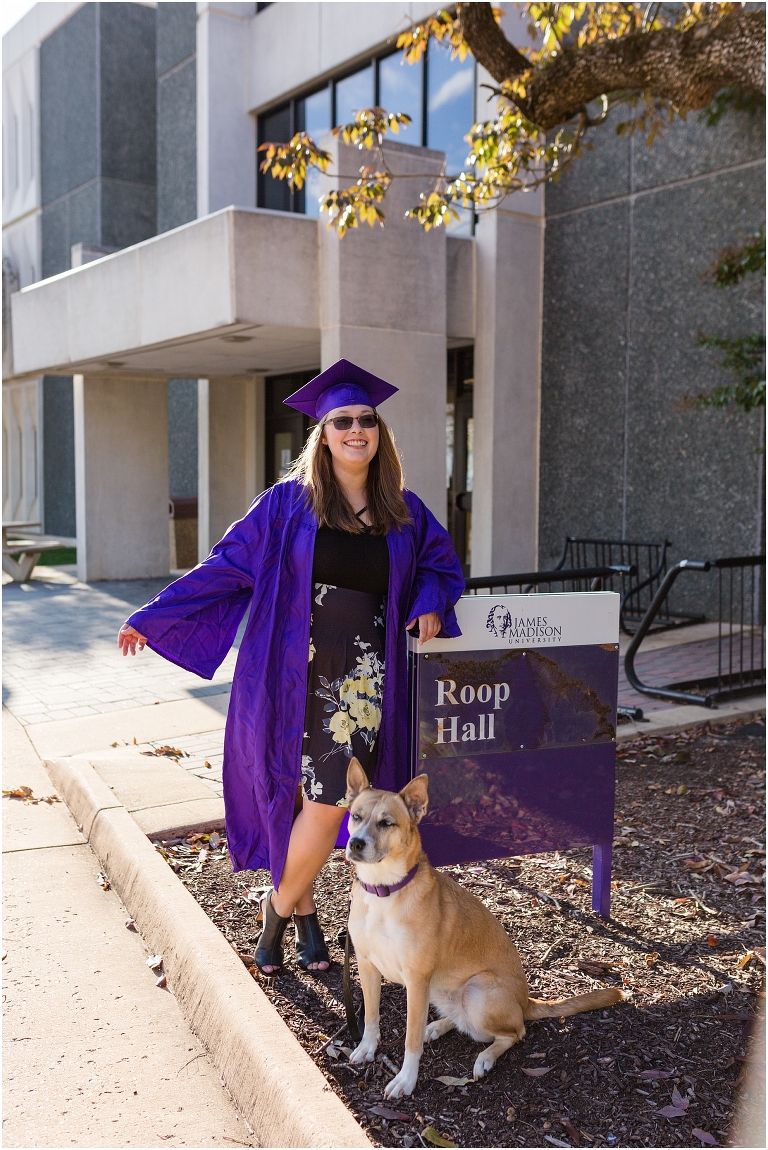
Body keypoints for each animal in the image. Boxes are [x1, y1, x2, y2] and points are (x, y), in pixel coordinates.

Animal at [344, 759, 620, 1099]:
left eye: (386, 823)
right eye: (356, 816)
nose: (355, 844)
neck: (384, 891)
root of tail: (525, 1001)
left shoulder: (417, 980)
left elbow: (410, 1040)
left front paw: (406, 1079)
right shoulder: (367, 965)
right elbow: (371, 1016)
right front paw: (367, 1048)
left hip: (476, 992)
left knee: (515, 1031)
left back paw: (484, 1057)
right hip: (442, 991)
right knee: (461, 1022)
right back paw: (437, 1026)